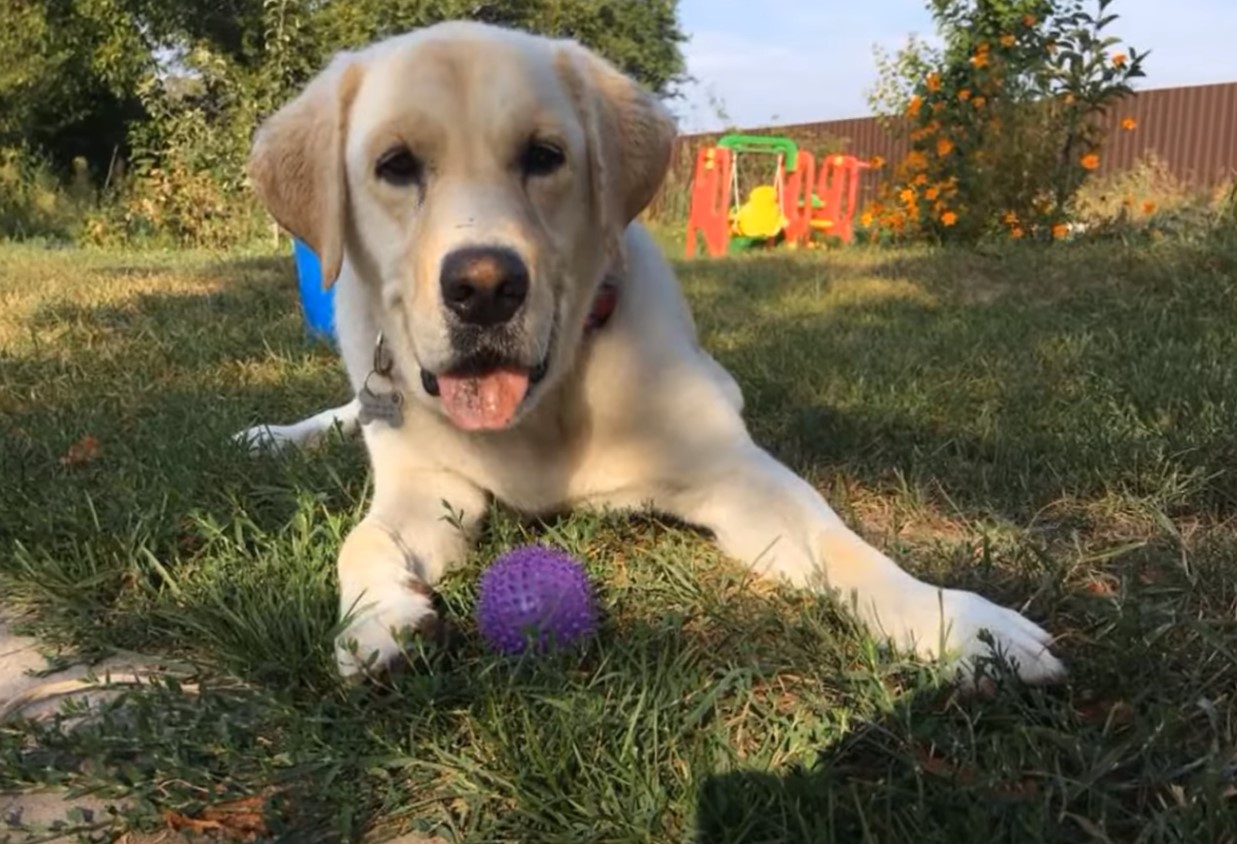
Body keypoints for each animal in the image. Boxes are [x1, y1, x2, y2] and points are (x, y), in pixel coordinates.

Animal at [238, 19, 1063, 683]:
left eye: (543, 155)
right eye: (396, 165)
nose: (484, 288)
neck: (545, 411)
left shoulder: (737, 475)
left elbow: (845, 545)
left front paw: (960, 624)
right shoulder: (427, 487)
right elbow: (360, 540)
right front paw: (377, 617)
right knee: (349, 414)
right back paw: (275, 435)